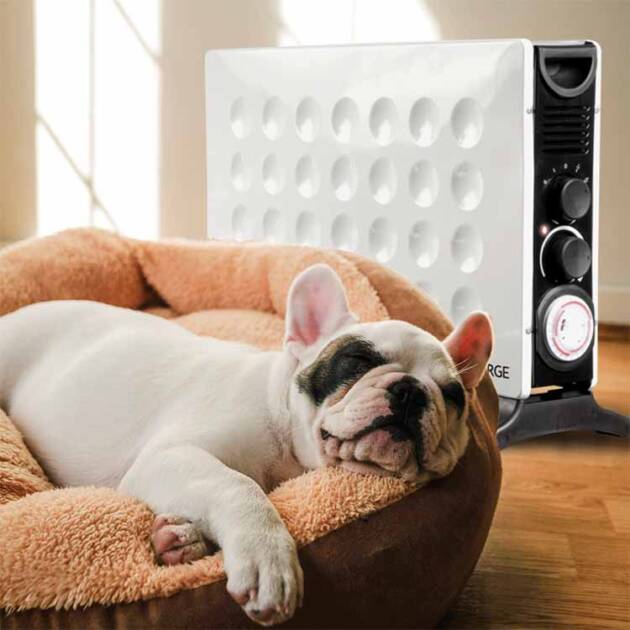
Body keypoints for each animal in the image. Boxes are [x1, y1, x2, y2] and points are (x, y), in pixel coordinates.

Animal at [0, 262, 494, 628]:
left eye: (453, 395)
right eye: (356, 360)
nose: (411, 391)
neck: (287, 439)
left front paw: (182, 539)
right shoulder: (174, 457)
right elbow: (237, 485)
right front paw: (266, 559)